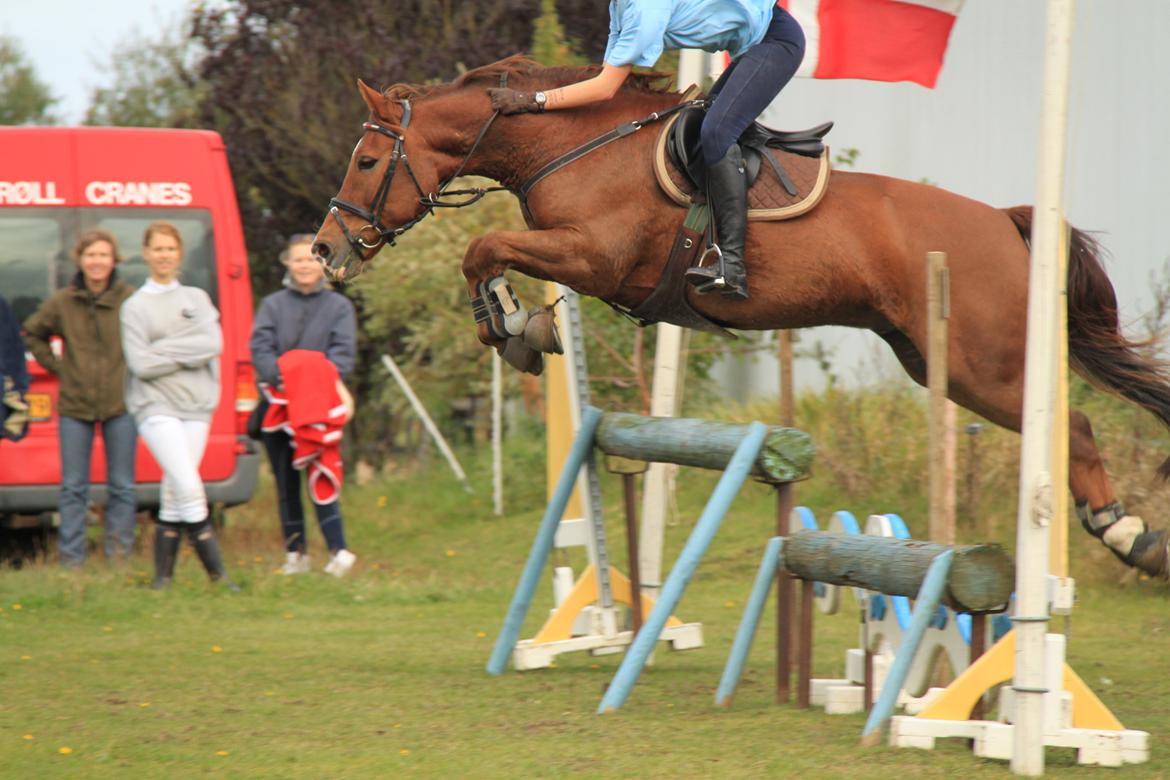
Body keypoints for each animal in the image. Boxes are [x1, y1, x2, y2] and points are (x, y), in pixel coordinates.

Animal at [311, 56, 1170, 580]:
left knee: (1073, 425)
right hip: (938, 362)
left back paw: (1125, 534)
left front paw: (517, 330)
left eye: (365, 161)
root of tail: (1006, 220)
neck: (576, 145)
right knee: (1061, 425)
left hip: (980, 364)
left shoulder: (592, 256)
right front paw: (521, 328)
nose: (324, 250)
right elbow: (487, 252)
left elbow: (482, 247)